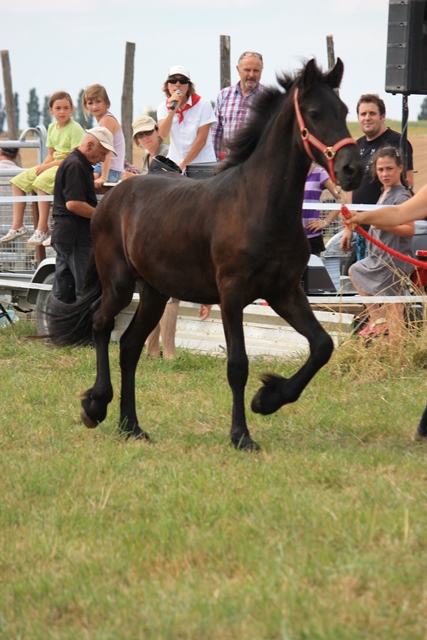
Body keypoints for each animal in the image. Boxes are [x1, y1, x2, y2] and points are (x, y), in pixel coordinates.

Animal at [48, 58, 366, 450]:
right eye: (314, 113)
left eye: (344, 110)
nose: (353, 170)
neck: (261, 206)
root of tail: (109, 197)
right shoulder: (231, 295)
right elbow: (238, 365)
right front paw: (242, 435)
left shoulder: (285, 292)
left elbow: (322, 345)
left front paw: (268, 399)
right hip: (119, 284)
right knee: (101, 325)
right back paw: (95, 406)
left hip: (154, 293)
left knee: (130, 346)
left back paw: (131, 425)